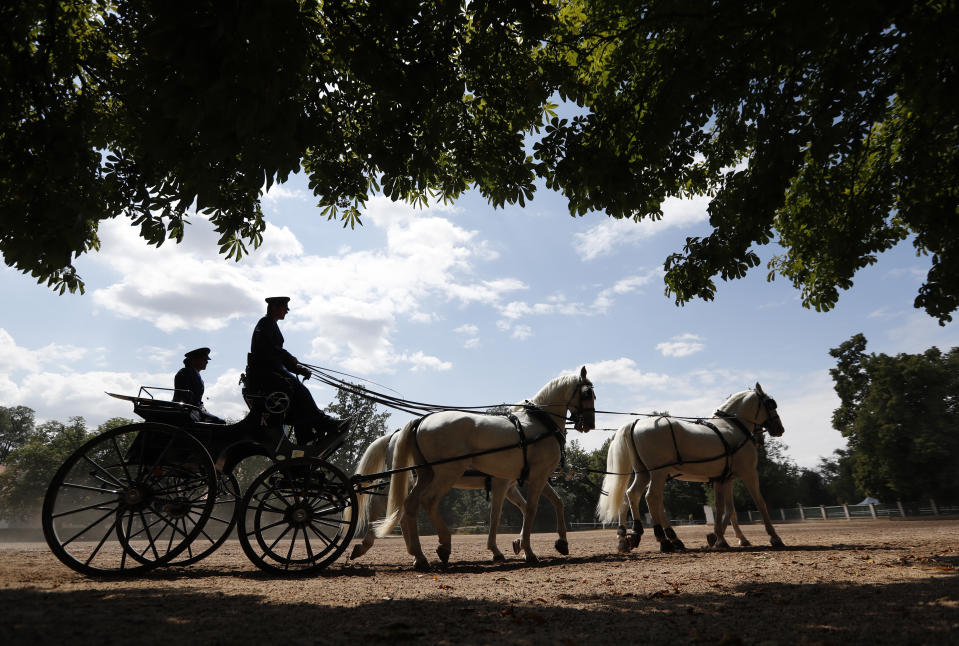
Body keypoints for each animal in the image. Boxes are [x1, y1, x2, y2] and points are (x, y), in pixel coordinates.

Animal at [348, 432, 568, 564]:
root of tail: (395, 435)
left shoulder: (512, 486)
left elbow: (539, 504)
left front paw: (520, 543)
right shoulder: (502, 484)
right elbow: (499, 515)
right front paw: (505, 549)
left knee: (397, 510)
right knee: (387, 507)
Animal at [378, 370, 596, 572]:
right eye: (588, 393)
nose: (590, 424)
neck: (540, 422)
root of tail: (422, 421)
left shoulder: (525, 479)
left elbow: (554, 503)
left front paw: (560, 543)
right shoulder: (536, 476)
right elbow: (529, 510)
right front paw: (528, 551)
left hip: (426, 475)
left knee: (410, 505)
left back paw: (420, 556)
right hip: (448, 472)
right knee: (428, 501)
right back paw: (443, 545)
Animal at [600, 382, 788, 556]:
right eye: (771, 404)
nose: (780, 429)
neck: (732, 427)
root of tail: (636, 422)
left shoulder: (724, 478)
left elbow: (726, 509)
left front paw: (721, 538)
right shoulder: (749, 473)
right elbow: (760, 503)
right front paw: (774, 537)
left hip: (644, 473)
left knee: (631, 495)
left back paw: (631, 536)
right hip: (657, 472)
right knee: (651, 497)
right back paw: (663, 540)